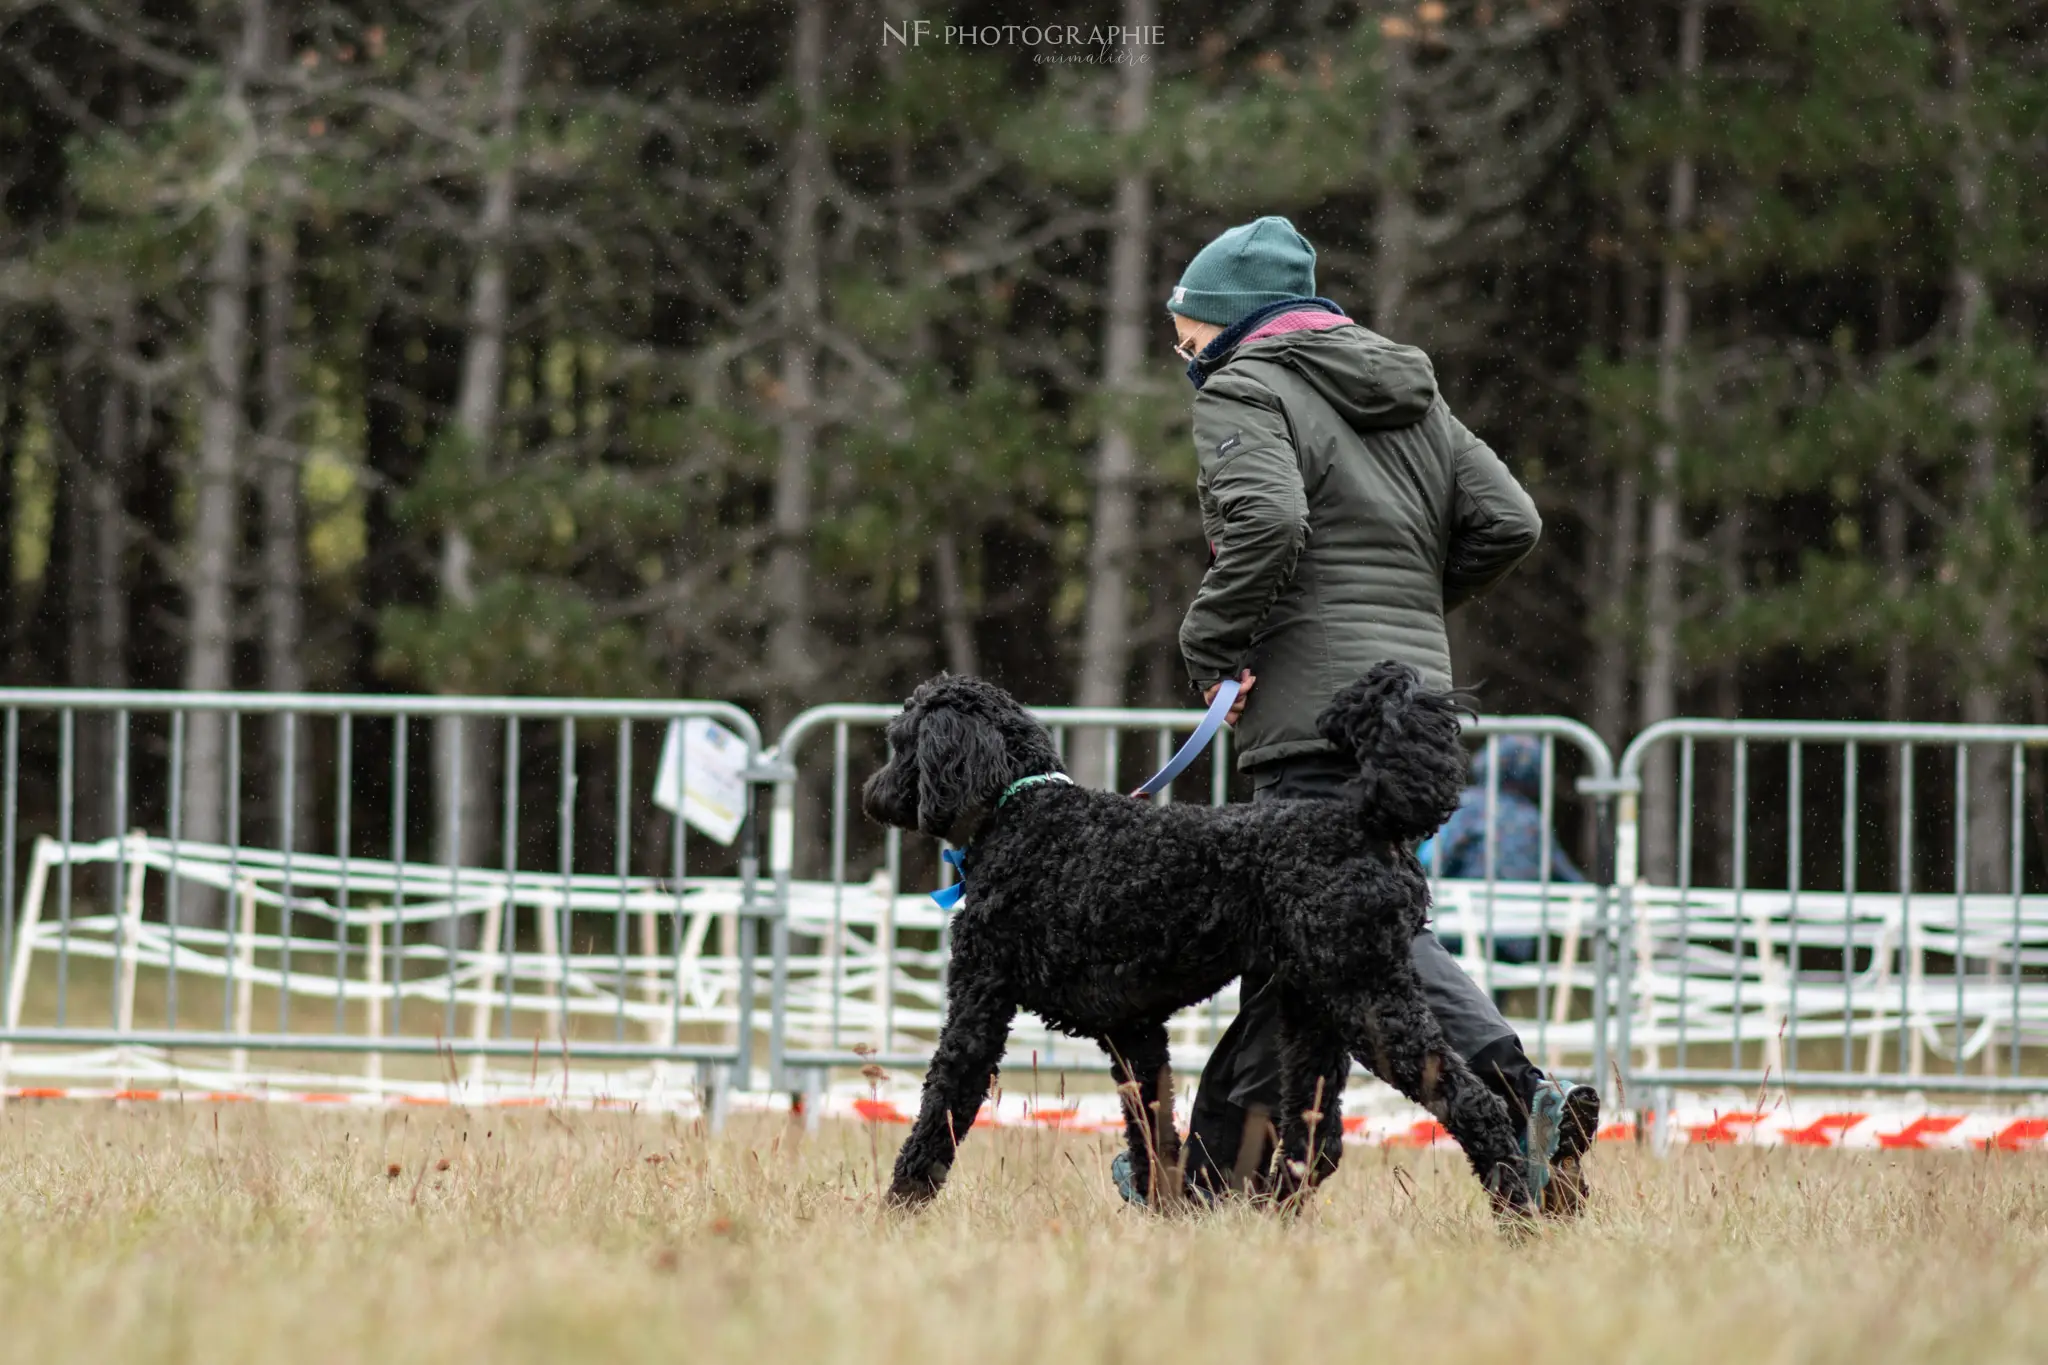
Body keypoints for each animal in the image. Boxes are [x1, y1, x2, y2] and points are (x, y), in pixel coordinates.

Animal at [856, 663, 1531, 1219]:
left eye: (900, 740)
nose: (870, 794)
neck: (1024, 814)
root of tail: (1367, 818)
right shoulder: (1134, 1031)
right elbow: (1153, 1135)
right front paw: (1167, 1213)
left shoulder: (979, 1008)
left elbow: (940, 1114)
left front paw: (896, 1212)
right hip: (1312, 1012)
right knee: (1317, 1138)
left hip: (1367, 1000)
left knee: (1475, 1104)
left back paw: (1519, 1213)